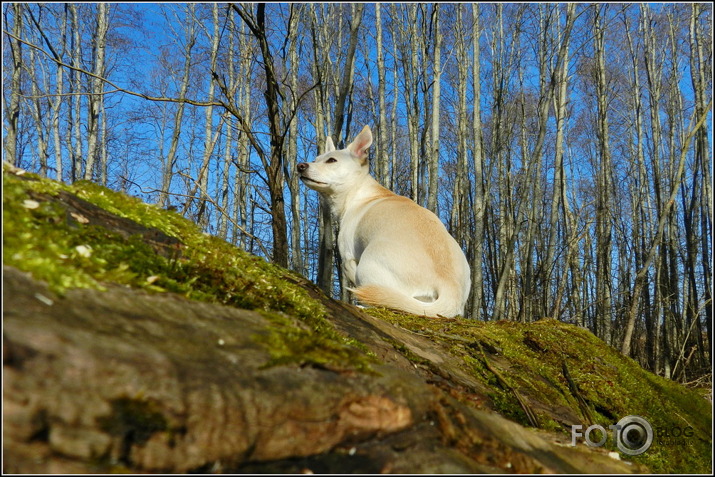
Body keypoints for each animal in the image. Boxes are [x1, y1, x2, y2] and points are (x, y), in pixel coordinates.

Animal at [296, 125, 470, 316]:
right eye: (316, 159)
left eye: (331, 160)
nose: (300, 166)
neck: (359, 190)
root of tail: (450, 287)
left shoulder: (348, 259)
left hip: (367, 266)